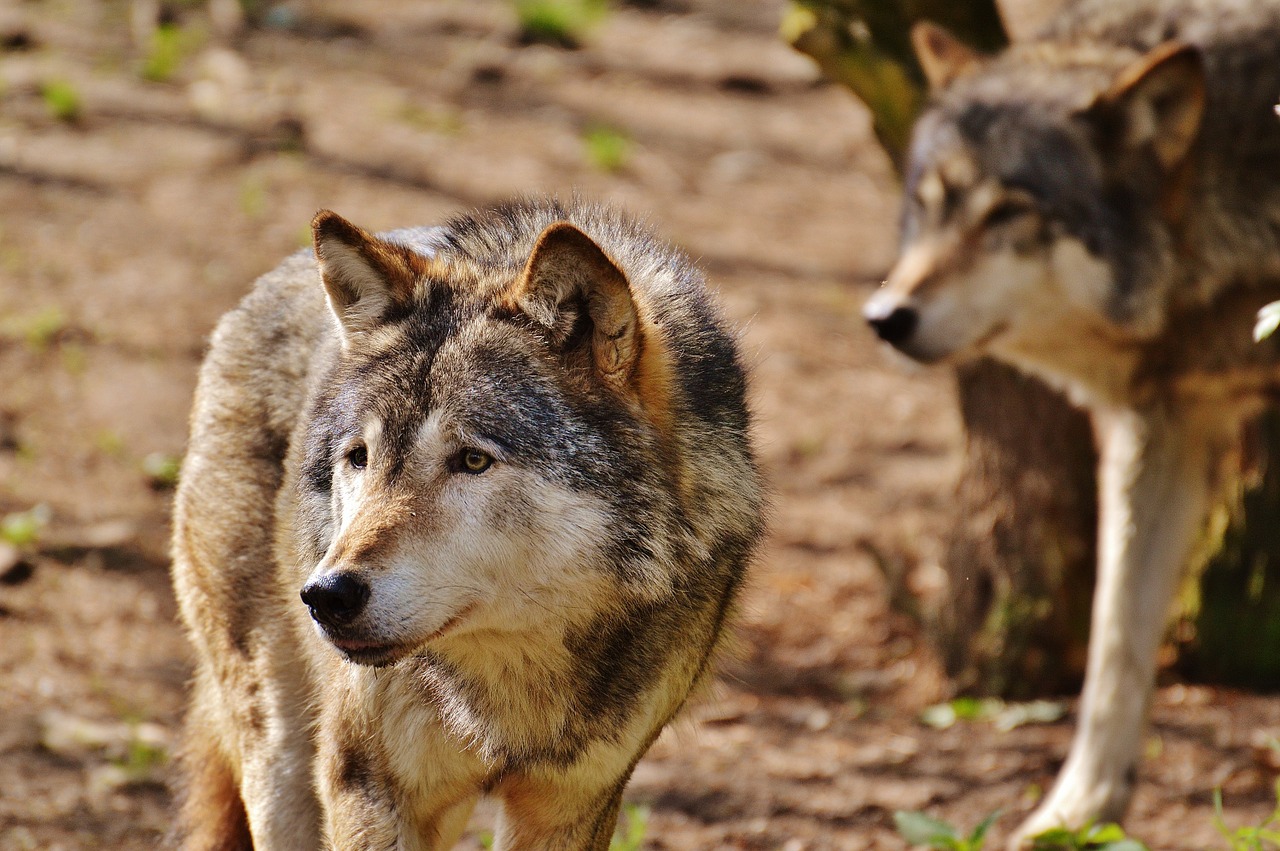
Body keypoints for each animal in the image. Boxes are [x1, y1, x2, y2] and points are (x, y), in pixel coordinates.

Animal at [168, 200, 757, 849]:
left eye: (473, 460)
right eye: (360, 457)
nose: (326, 596)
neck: (509, 686)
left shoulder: (575, 803)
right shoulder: (368, 789)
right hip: (282, 757)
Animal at [865, 0, 1280, 844]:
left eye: (1009, 212)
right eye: (928, 203)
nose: (886, 316)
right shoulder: (1158, 427)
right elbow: (1115, 638)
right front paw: (1078, 810)